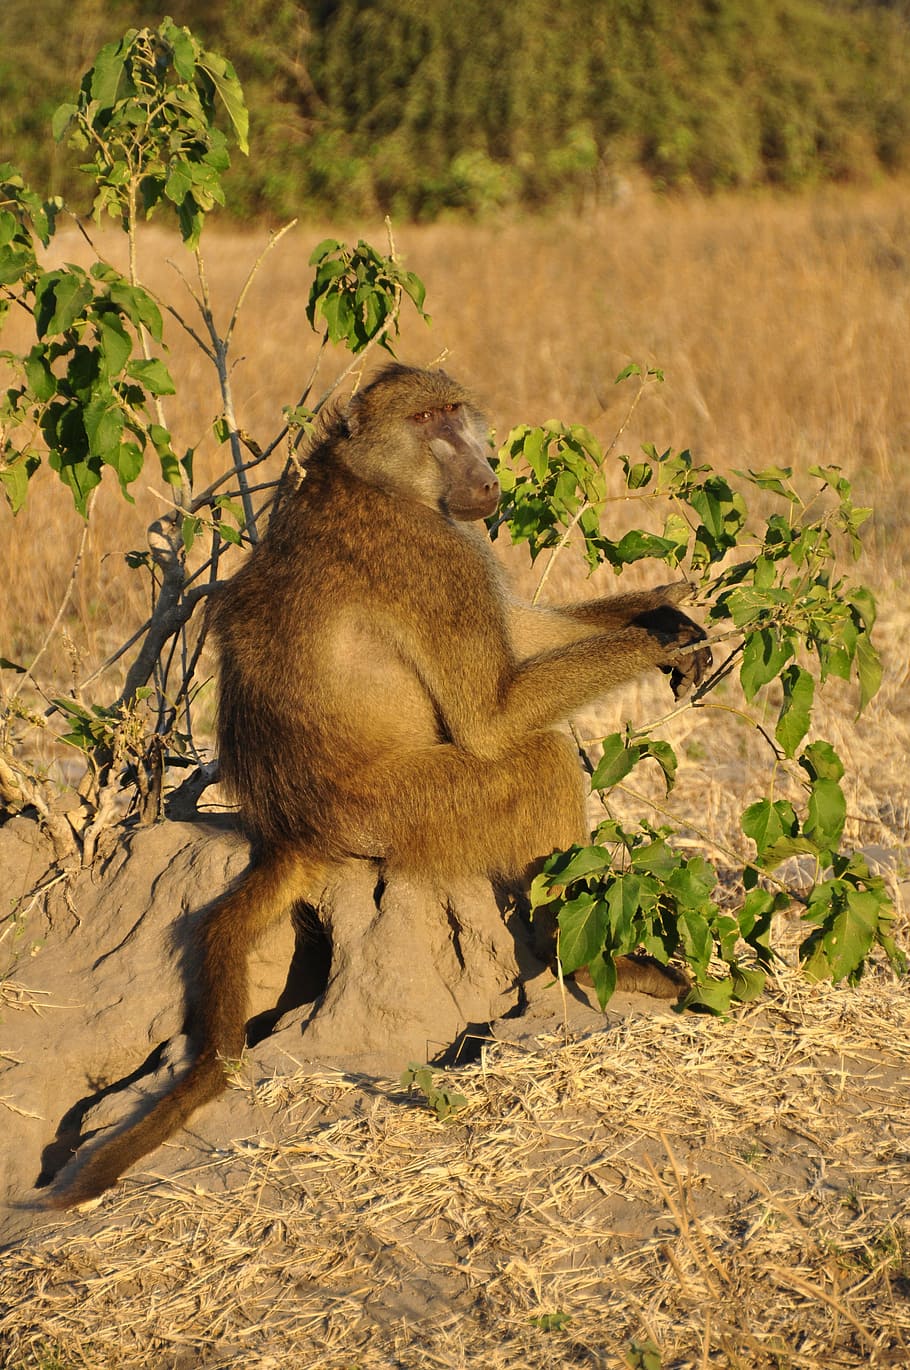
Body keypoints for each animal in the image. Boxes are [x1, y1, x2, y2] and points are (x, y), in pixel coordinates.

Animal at [49, 363, 710, 1207]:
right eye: (429, 421)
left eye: (457, 412)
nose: (483, 471)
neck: (371, 474)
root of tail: (293, 829)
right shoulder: (434, 554)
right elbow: (493, 716)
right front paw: (658, 636)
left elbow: (523, 636)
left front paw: (669, 610)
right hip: (406, 814)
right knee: (540, 756)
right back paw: (590, 955)